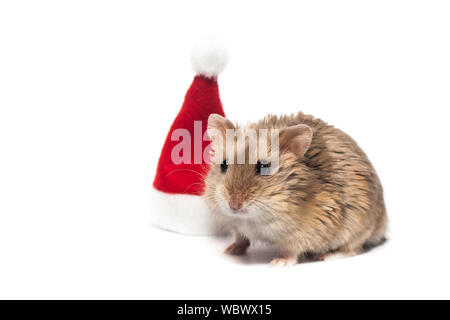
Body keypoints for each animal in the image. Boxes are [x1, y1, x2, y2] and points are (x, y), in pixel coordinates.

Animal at [204, 111, 386, 266]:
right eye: (224, 165)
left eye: (263, 167)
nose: (234, 205)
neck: (252, 219)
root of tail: (383, 221)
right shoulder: (236, 226)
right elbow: (240, 238)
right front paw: (229, 250)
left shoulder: (306, 230)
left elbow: (291, 251)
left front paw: (278, 263)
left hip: (359, 226)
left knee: (353, 248)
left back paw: (325, 256)